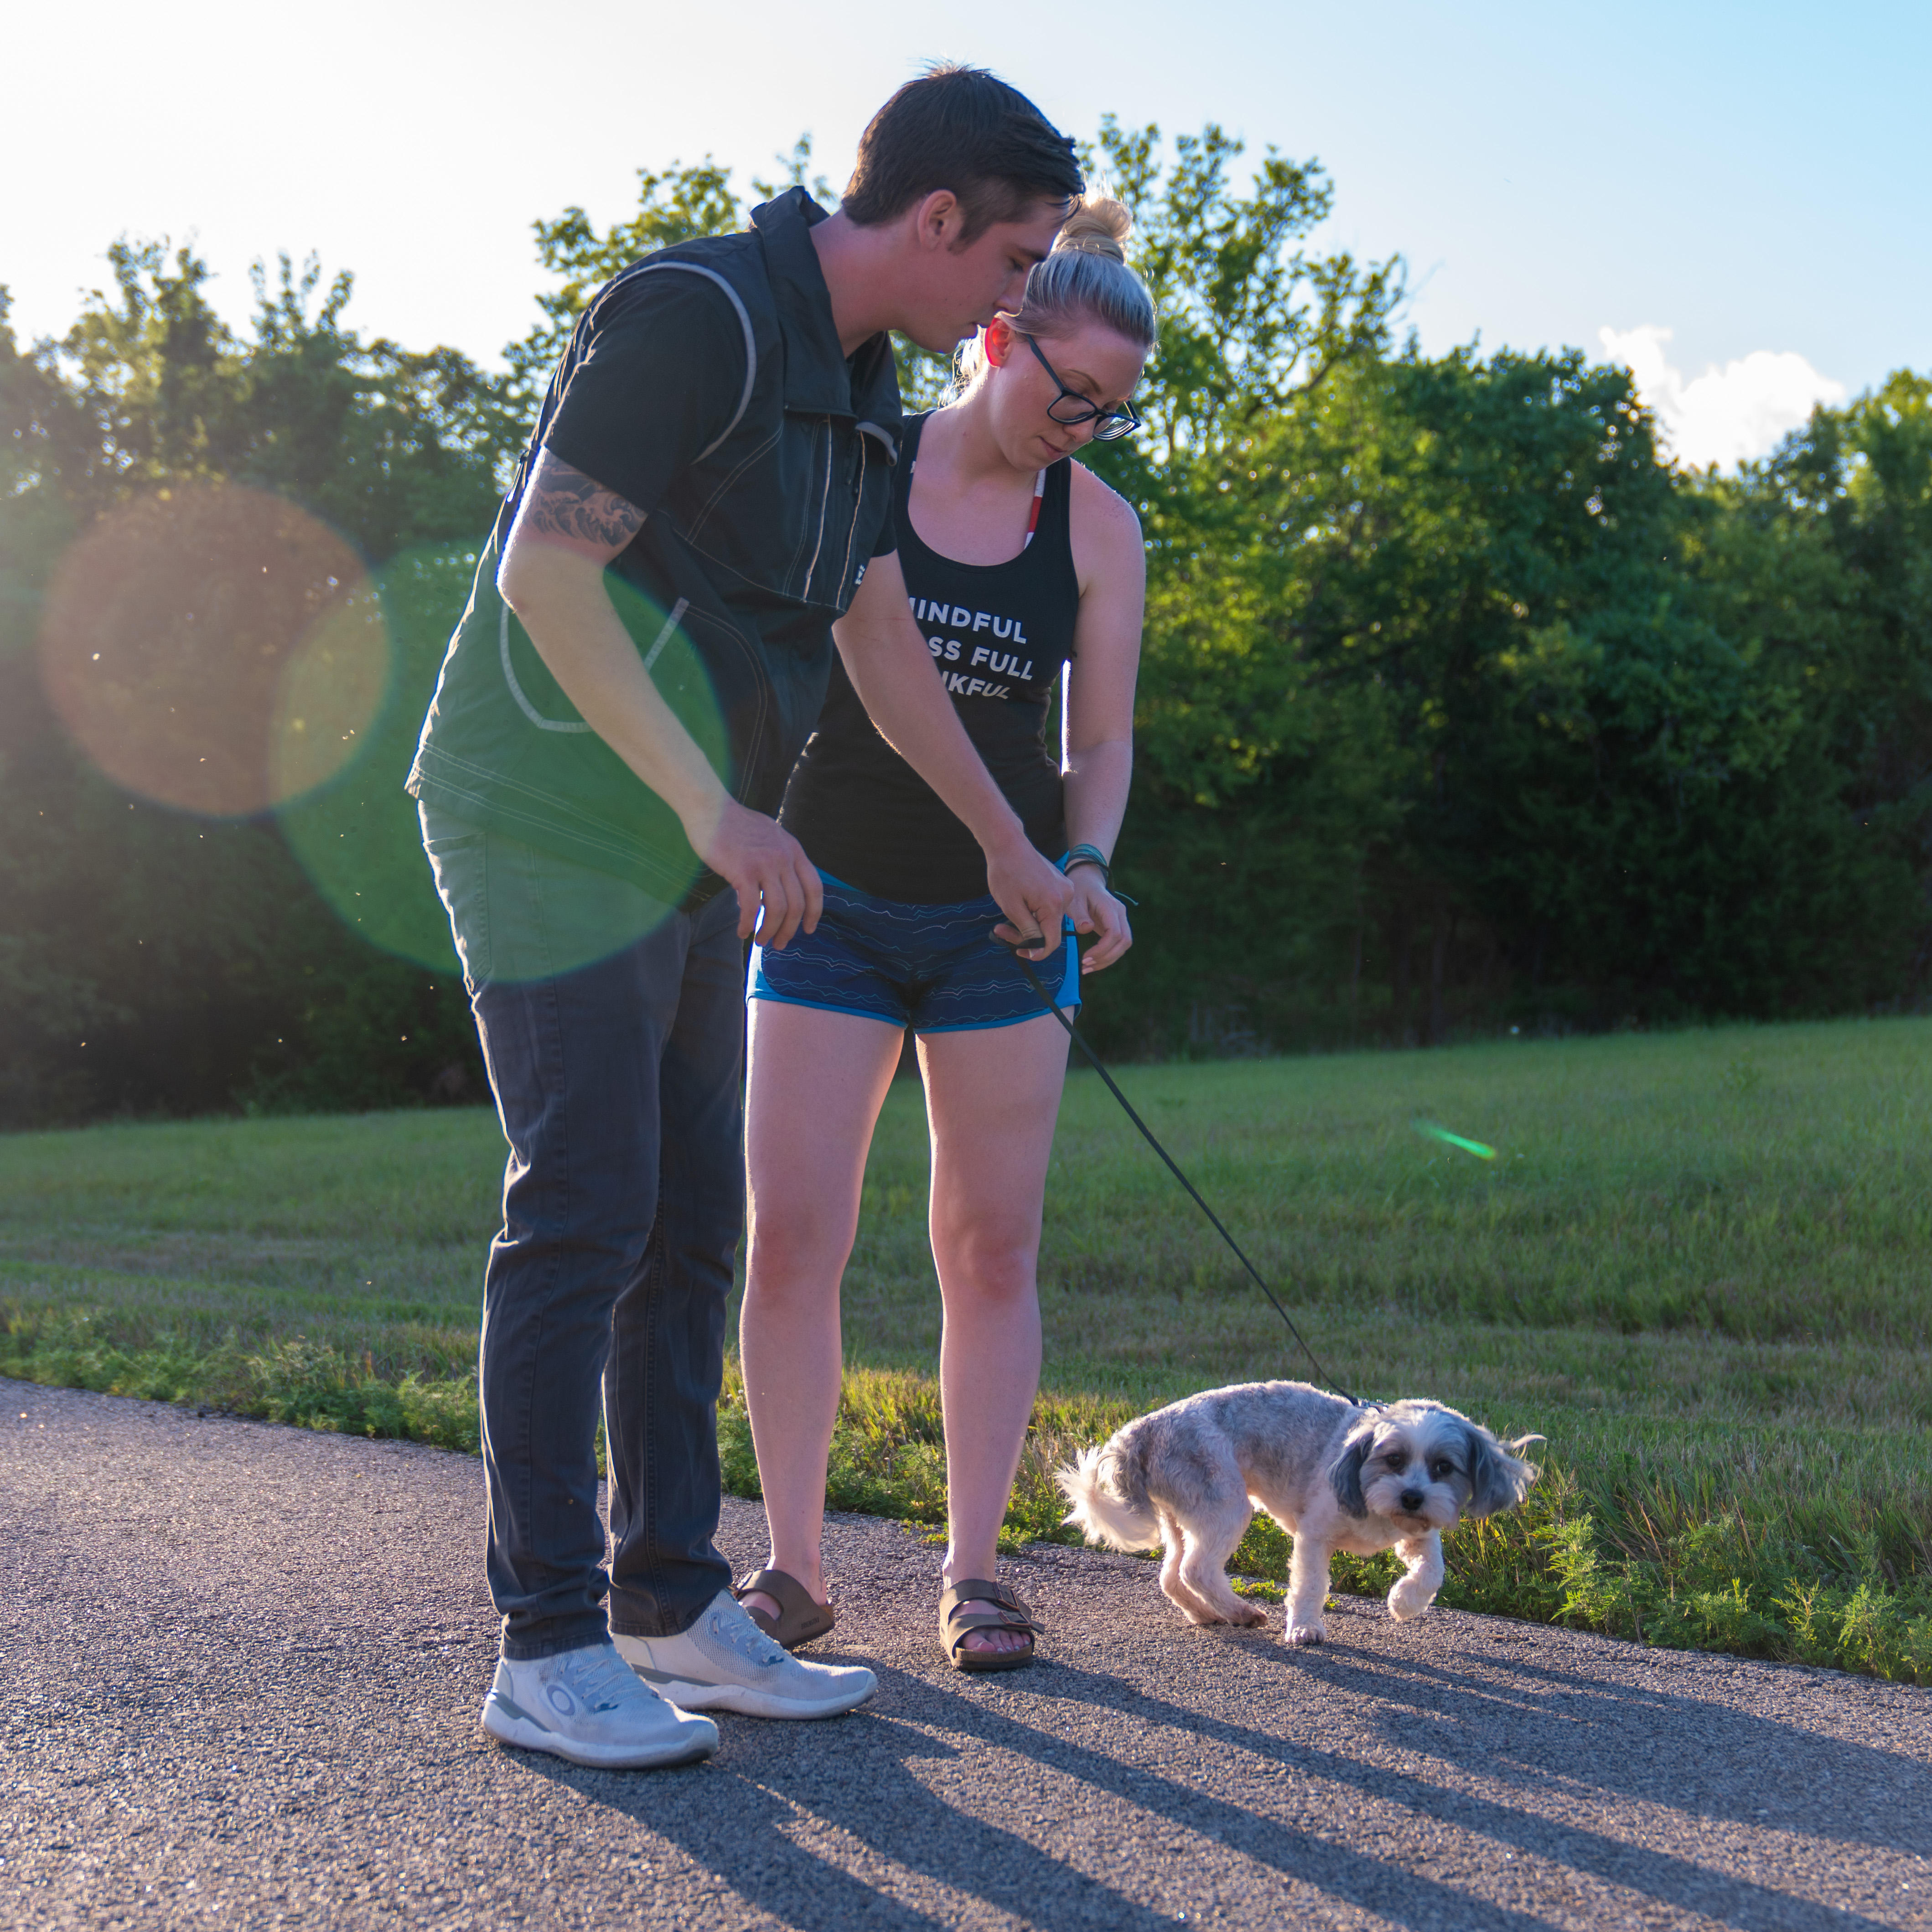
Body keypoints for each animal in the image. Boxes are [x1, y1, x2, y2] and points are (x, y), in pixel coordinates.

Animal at [1058, 1383, 1538, 1638]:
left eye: (1443, 1467)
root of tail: (1145, 1427)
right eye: (1394, 1459)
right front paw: (1305, 1628)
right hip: (1223, 1504)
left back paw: (1207, 1613)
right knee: (1198, 1570)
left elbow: (1432, 1569)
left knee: (1172, 1576)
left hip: (1185, 1514)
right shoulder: (1314, 1536)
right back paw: (1240, 1610)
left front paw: (1405, 1602)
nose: (1412, 1497)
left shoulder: (1414, 1534)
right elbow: (1309, 1585)